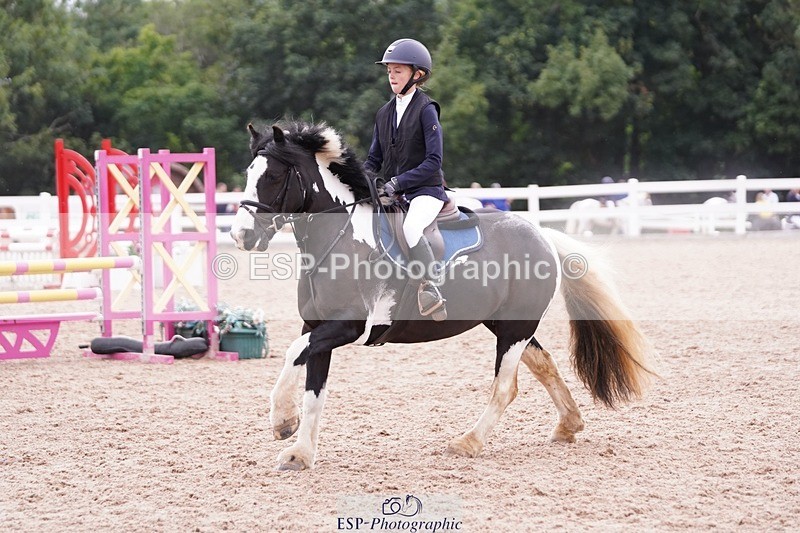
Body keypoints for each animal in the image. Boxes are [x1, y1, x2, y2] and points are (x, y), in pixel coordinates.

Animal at [230, 121, 654, 471]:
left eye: (273, 176)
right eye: (249, 174)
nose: (241, 236)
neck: (340, 239)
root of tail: (543, 235)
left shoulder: (348, 326)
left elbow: (292, 353)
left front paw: (282, 421)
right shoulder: (318, 327)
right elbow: (313, 389)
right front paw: (301, 452)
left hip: (514, 329)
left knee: (505, 387)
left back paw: (468, 443)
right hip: (507, 324)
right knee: (544, 366)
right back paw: (569, 425)